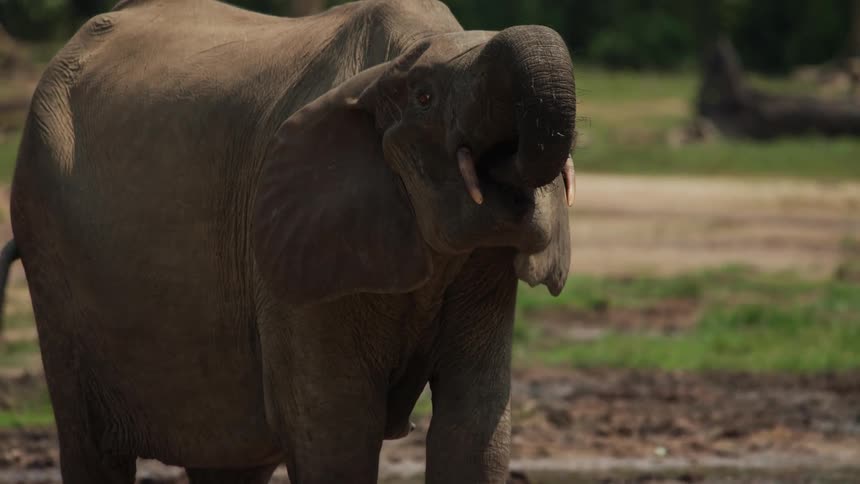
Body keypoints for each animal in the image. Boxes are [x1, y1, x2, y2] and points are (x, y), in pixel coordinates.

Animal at [6, 0, 576, 482]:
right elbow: (335, 429)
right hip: (44, 237)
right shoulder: (291, 255)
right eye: (425, 97)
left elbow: (474, 428)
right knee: (90, 444)